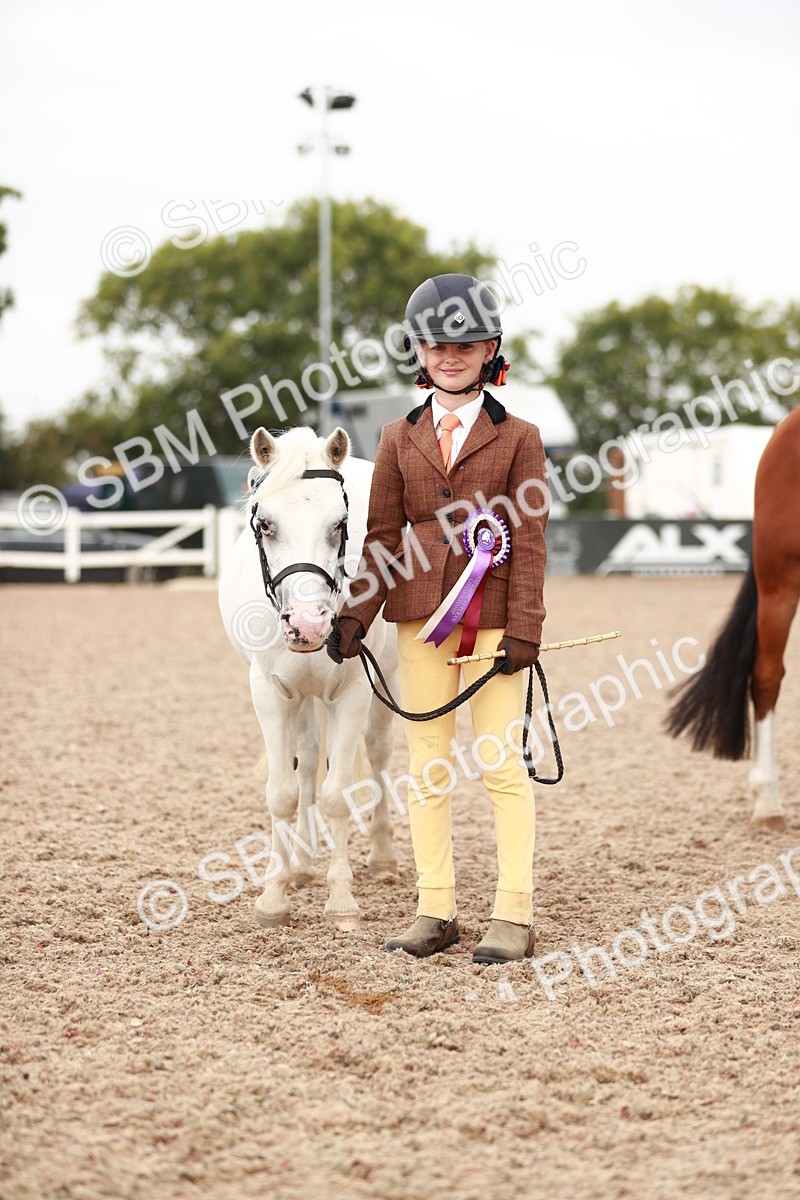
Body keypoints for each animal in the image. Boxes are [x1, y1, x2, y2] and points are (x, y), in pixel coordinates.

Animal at [218, 425, 399, 929]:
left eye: (339, 524)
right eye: (265, 524)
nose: (308, 624)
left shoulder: (354, 693)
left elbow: (338, 794)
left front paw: (341, 900)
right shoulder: (272, 694)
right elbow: (282, 793)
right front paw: (274, 896)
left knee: (378, 754)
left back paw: (382, 856)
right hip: (300, 700)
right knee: (309, 759)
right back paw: (301, 865)